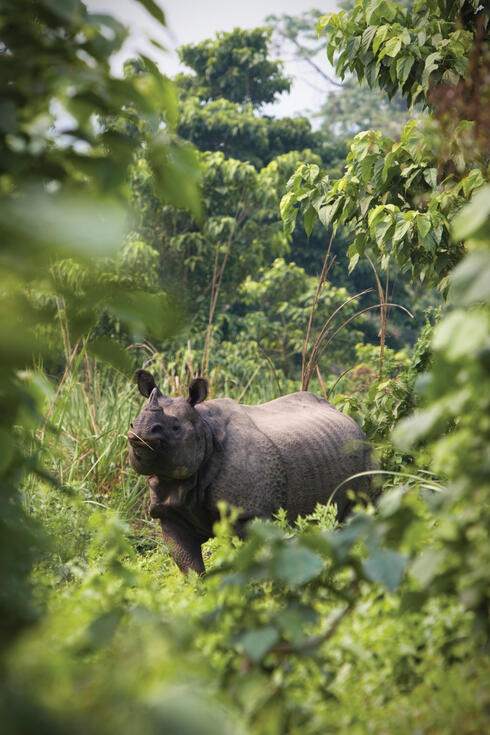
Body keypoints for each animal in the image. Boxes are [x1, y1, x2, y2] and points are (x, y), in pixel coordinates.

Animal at [127, 368, 372, 576]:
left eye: (176, 427)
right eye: (132, 422)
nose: (140, 432)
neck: (204, 429)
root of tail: (348, 417)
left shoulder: (247, 512)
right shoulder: (169, 508)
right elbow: (189, 566)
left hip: (364, 452)